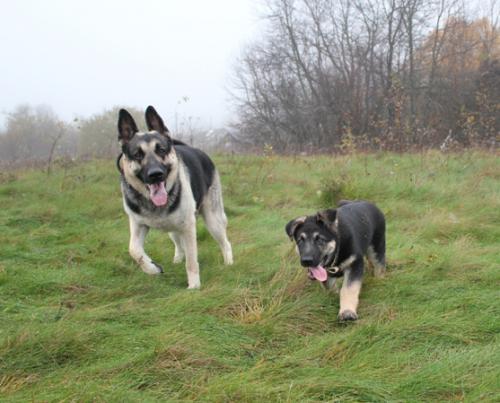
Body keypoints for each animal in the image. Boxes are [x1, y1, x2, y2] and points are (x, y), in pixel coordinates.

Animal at [116, 107, 233, 288]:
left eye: (161, 150)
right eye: (137, 155)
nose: (156, 174)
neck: (154, 205)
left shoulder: (188, 227)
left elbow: (191, 261)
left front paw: (194, 287)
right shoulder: (138, 224)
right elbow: (134, 250)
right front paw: (152, 268)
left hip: (213, 220)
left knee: (225, 243)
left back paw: (229, 263)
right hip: (173, 228)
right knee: (178, 243)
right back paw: (177, 258)